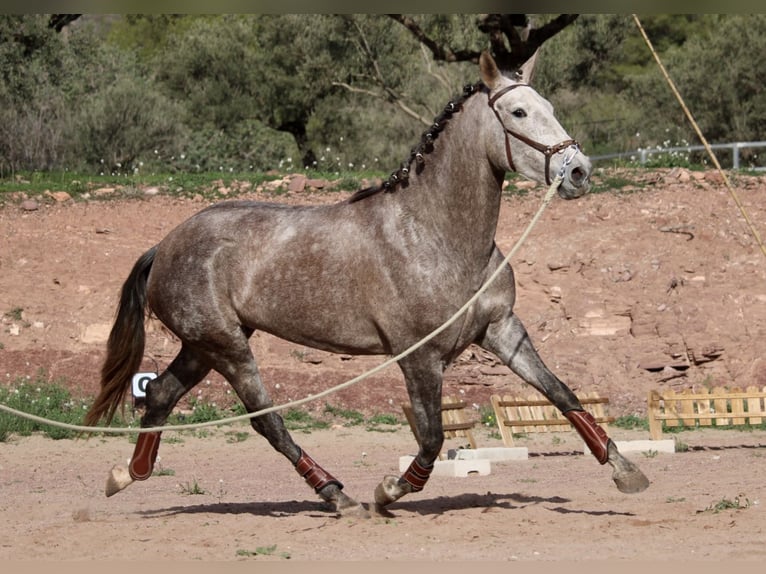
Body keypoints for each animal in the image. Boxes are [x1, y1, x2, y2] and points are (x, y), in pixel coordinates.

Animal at [82, 51, 648, 516]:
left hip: (203, 346)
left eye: (547, 104)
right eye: (518, 114)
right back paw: (339, 496)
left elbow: (561, 394)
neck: (437, 233)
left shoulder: (503, 331)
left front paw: (626, 471)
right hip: (227, 349)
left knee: (158, 395)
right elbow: (432, 438)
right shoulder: (419, 357)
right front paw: (388, 492)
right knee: (266, 421)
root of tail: (164, 246)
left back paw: (123, 476)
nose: (579, 172)